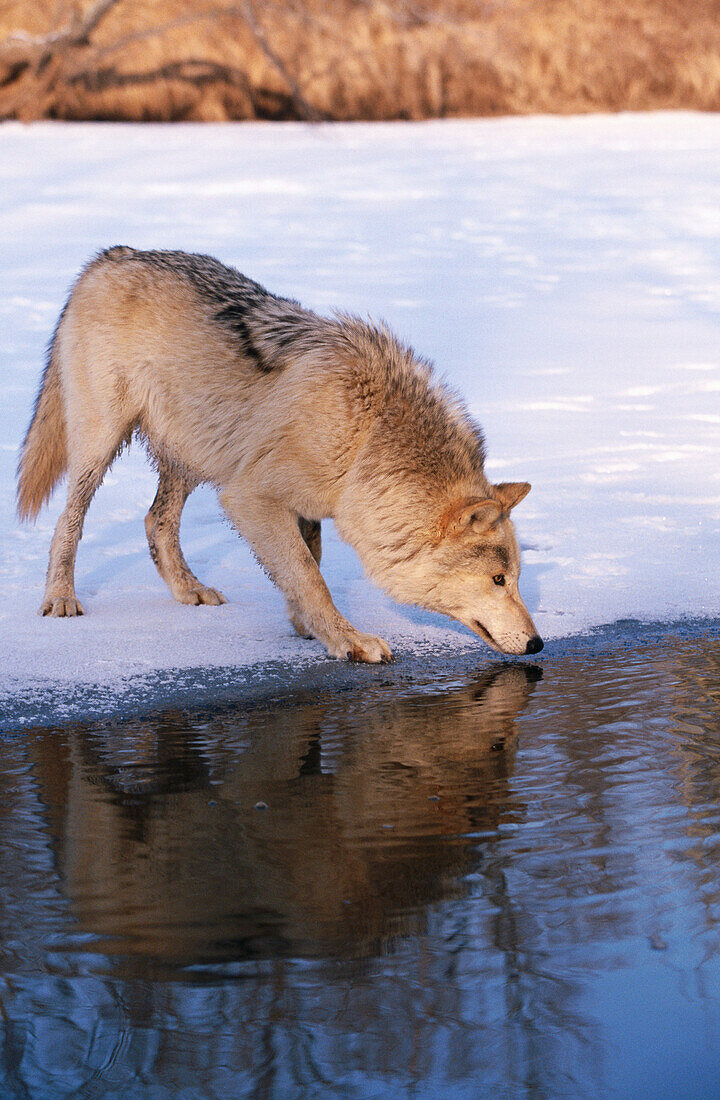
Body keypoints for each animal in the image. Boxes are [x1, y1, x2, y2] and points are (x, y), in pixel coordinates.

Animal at [16, 249, 543, 660]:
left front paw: (306, 627)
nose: (538, 644)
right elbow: (311, 577)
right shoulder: (250, 497)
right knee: (68, 521)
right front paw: (349, 641)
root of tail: (110, 257)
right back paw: (59, 599)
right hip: (104, 442)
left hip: (199, 451)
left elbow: (308, 565)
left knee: (156, 520)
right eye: (499, 579)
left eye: (516, 578)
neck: (366, 437)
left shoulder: (304, 506)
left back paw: (190, 590)